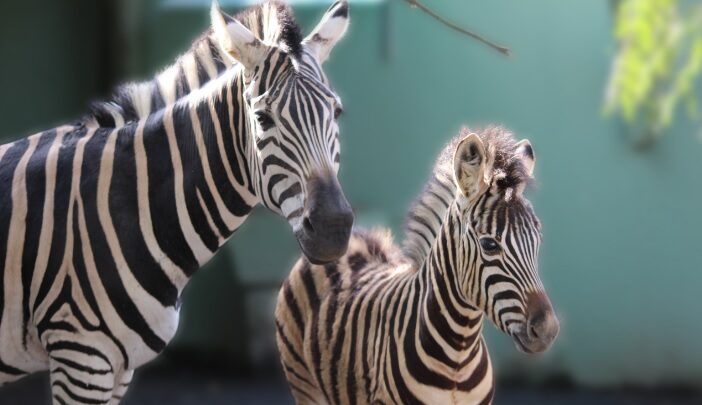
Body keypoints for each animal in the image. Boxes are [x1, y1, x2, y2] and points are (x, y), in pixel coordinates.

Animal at [0, 1, 352, 403]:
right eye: (263, 118)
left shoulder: (118, 367)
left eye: (337, 112)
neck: (130, 201)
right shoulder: (80, 355)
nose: (333, 229)